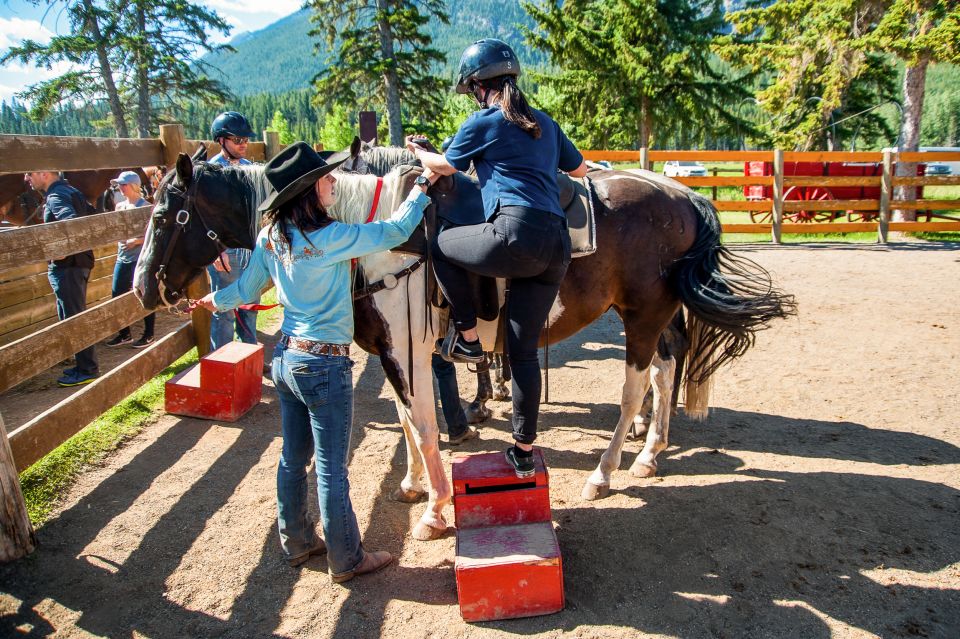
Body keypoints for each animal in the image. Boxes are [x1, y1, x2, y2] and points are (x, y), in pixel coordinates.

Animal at [133, 152, 796, 544]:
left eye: (167, 214)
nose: (145, 288)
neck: (372, 239)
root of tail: (684, 196)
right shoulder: (391, 351)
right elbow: (406, 421)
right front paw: (412, 484)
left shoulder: (408, 349)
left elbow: (426, 424)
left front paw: (434, 510)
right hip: (649, 317)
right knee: (664, 372)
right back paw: (650, 455)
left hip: (642, 316)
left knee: (637, 388)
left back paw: (606, 473)